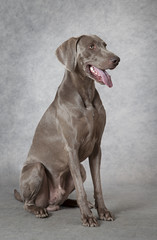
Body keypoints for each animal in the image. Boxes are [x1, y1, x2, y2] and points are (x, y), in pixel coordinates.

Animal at [14, 34, 120, 226]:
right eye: (91, 46)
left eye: (105, 45)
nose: (116, 59)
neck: (86, 94)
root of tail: (50, 203)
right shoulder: (72, 148)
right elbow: (81, 189)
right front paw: (88, 217)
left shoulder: (96, 148)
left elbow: (98, 186)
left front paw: (102, 211)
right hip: (35, 168)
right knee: (28, 203)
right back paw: (38, 210)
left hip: (80, 169)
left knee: (63, 198)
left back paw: (75, 203)